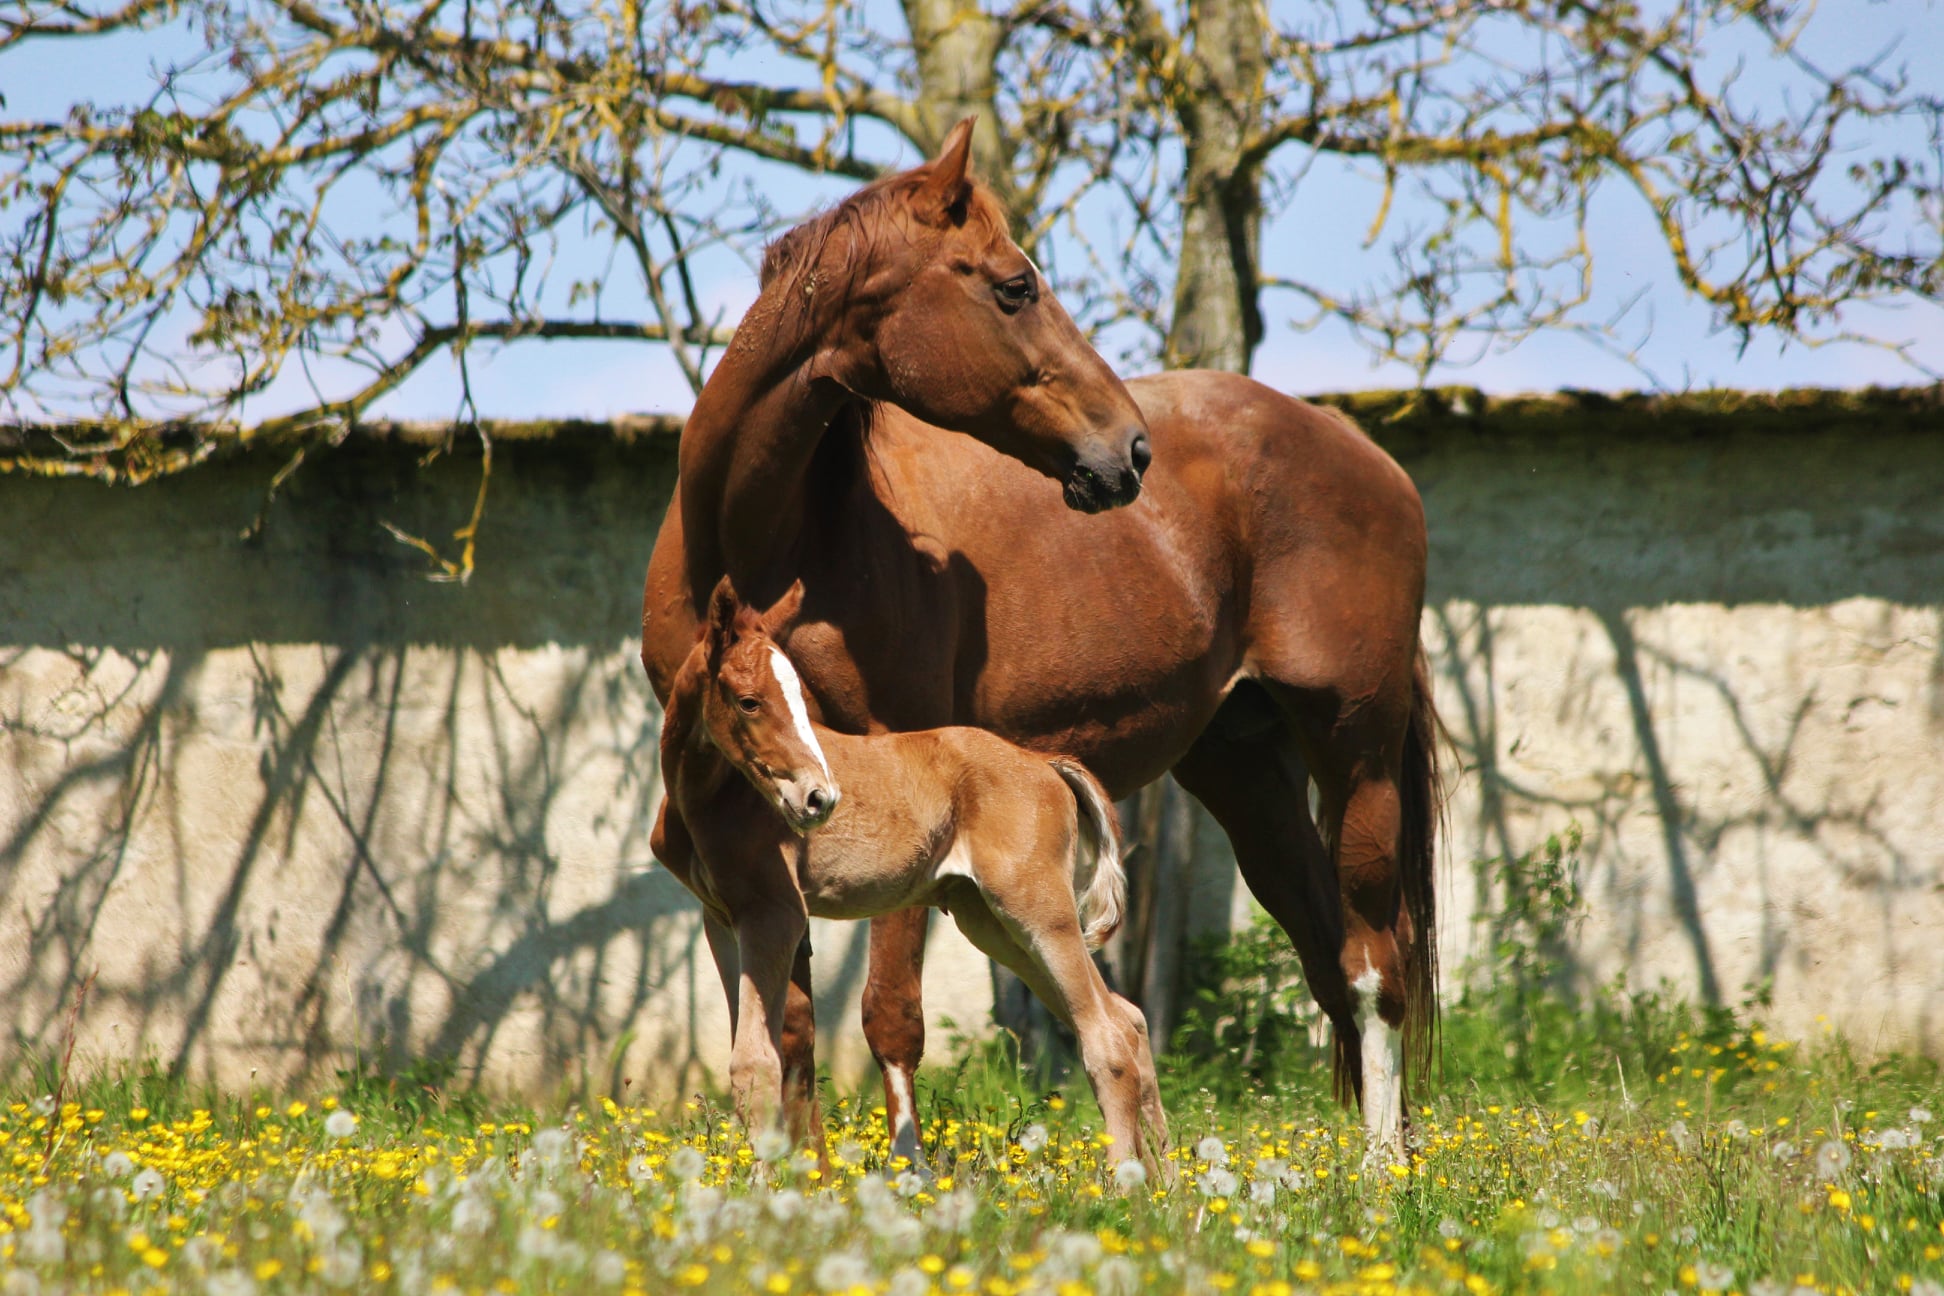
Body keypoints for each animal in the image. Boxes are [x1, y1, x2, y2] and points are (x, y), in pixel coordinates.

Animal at [653, 579, 1166, 1165]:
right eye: (749, 701)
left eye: (804, 701)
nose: (819, 799)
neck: (707, 801)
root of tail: (1044, 764)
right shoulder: (720, 918)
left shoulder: (774, 914)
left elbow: (756, 1062)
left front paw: (764, 1180)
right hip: (988, 920)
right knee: (1127, 1016)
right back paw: (1168, 1176)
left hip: (1037, 909)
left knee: (1105, 1032)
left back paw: (1125, 1179)